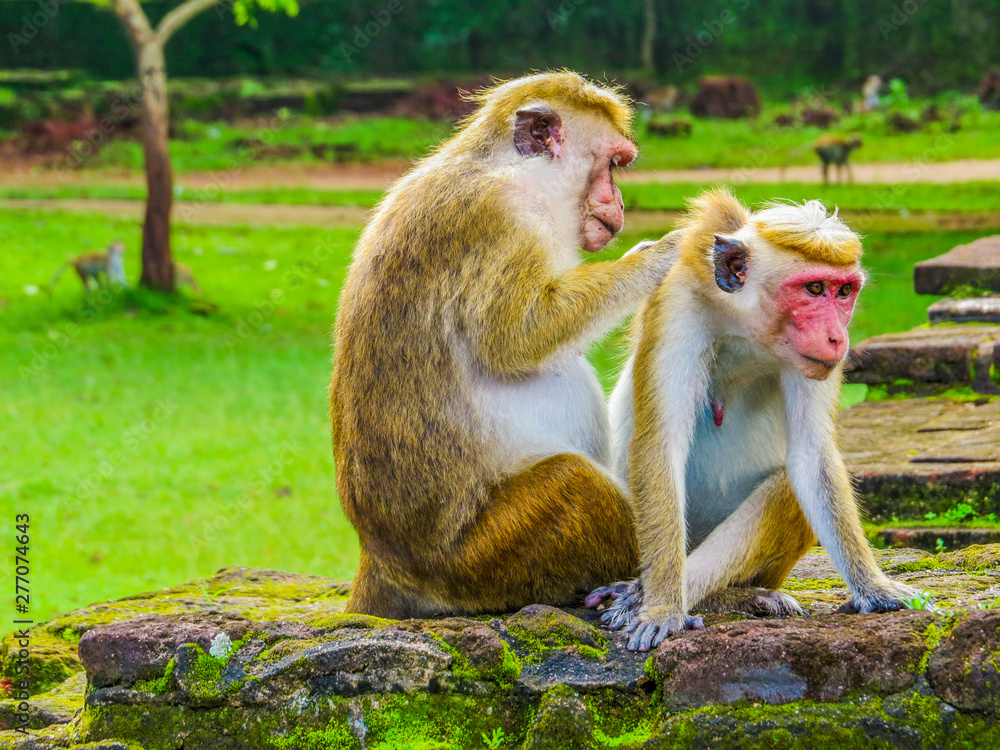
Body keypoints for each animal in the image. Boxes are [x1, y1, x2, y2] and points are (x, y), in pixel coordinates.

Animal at [328, 72, 680, 624]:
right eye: (612, 165)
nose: (620, 204)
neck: (511, 172)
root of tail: (382, 561)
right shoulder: (500, 219)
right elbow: (517, 338)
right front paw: (659, 256)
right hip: (485, 558)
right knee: (573, 482)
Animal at [584, 191, 920, 656]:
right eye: (814, 289)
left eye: (844, 291)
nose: (838, 337)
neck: (745, 329)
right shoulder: (678, 307)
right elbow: (659, 448)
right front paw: (663, 607)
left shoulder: (811, 360)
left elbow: (812, 456)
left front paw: (873, 588)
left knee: (787, 486)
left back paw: (733, 595)